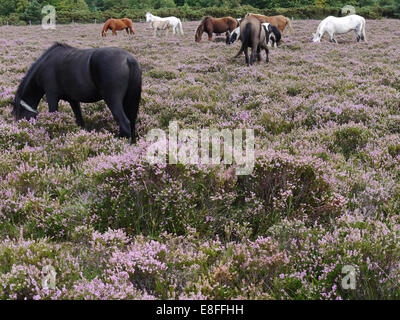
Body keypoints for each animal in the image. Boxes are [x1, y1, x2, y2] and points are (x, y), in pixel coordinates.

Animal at [12, 42, 142, 142]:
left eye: (19, 116)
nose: (24, 131)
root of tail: (128, 59)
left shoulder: (51, 96)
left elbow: (53, 117)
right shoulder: (73, 100)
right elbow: (80, 121)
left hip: (112, 100)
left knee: (125, 124)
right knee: (132, 122)